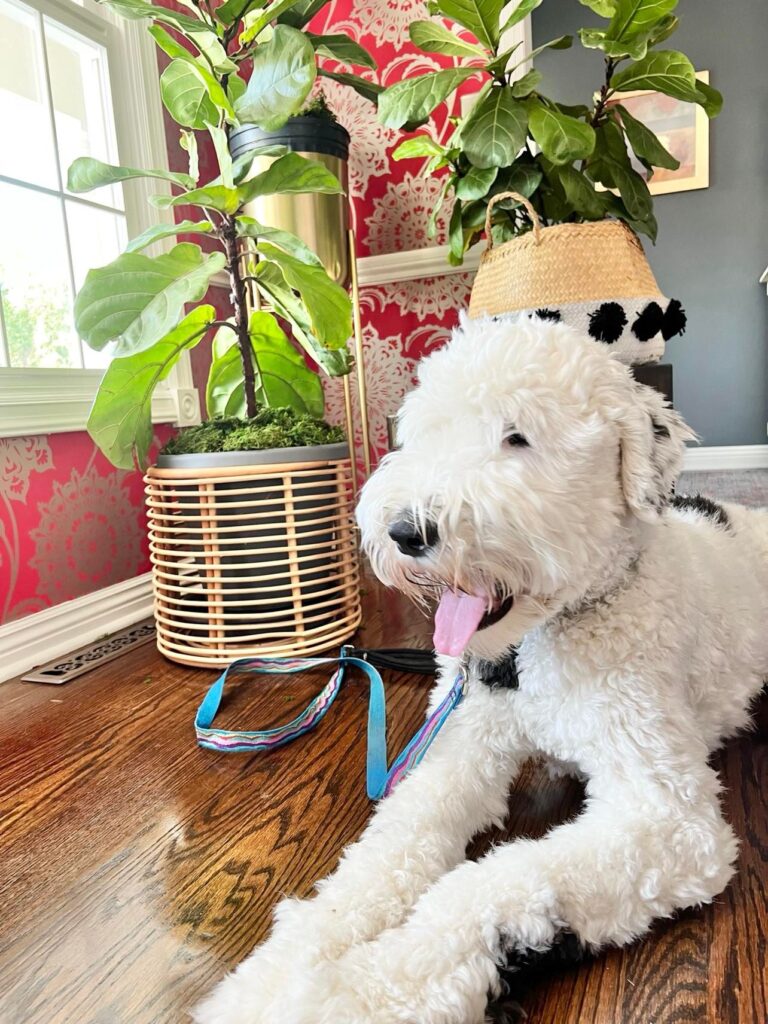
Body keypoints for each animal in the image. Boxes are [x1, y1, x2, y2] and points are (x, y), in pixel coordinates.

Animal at [193, 313, 768, 1024]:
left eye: (517, 435)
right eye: (426, 434)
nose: (405, 531)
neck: (528, 655)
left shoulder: (669, 819)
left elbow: (495, 884)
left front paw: (361, 991)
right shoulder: (460, 746)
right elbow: (390, 847)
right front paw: (279, 970)